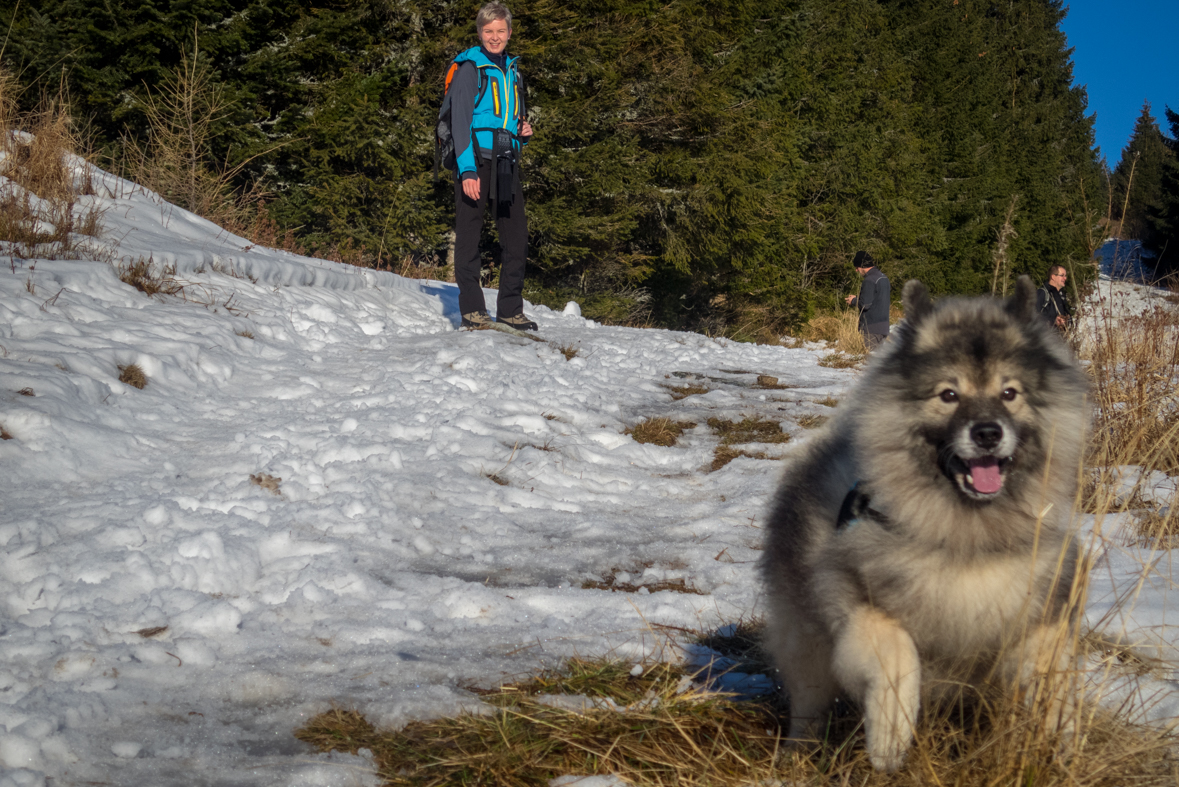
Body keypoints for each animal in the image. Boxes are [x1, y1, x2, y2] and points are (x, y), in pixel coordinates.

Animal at [763, 275, 1084, 768]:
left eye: (1009, 393)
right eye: (948, 395)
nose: (987, 433)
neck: (961, 535)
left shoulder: (1035, 607)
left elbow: (1052, 677)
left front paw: (1062, 740)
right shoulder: (860, 606)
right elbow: (899, 658)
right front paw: (891, 735)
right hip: (807, 644)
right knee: (808, 704)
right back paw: (797, 755)